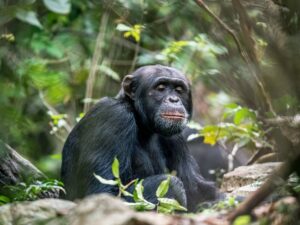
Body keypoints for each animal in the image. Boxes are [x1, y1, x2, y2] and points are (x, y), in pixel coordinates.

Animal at [61, 64, 219, 210]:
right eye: (160, 88)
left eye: (179, 90)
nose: (174, 99)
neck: (142, 123)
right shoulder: (114, 116)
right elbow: (103, 193)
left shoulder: (176, 136)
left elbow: (196, 187)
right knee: (173, 184)